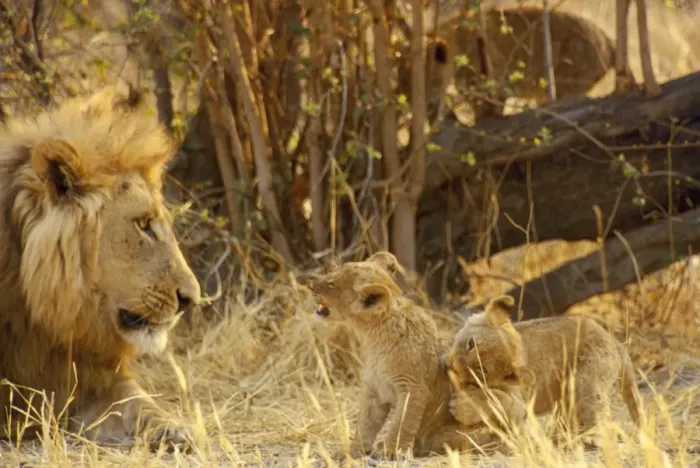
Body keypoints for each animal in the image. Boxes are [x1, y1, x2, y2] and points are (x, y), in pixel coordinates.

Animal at [307, 251, 514, 458]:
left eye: (332, 284)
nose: (310, 285)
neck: (372, 337)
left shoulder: (413, 387)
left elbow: (402, 422)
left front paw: (391, 451)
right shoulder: (375, 389)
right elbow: (365, 424)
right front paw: (353, 452)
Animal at [443, 295, 642, 439]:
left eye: (482, 370)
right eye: (471, 343)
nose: (452, 366)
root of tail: (614, 341)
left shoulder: (522, 403)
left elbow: (497, 401)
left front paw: (462, 407)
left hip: (586, 382)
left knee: (598, 413)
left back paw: (588, 439)